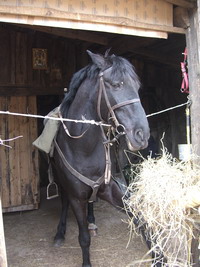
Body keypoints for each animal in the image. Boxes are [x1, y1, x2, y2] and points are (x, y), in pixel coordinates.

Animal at [51, 50, 150, 267]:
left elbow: (140, 220)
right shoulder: (76, 197)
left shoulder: (110, 189)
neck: (83, 148)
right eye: (116, 84)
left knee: (91, 202)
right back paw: (60, 233)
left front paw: (159, 256)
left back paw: (92, 222)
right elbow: (83, 239)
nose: (142, 135)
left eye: (137, 87)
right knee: (63, 203)